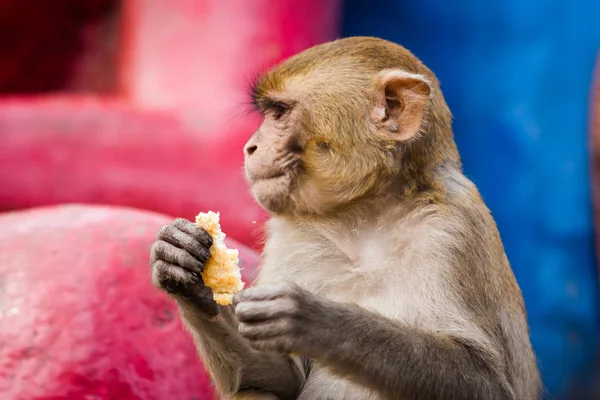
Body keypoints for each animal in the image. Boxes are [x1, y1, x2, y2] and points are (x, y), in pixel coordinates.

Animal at [149, 36, 540, 398]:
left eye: (279, 112)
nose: (250, 147)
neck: (365, 215)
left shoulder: (454, 229)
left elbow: (486, 381)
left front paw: (316, 319)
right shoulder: (293, 233)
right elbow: (282, 378)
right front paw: (185, 268)